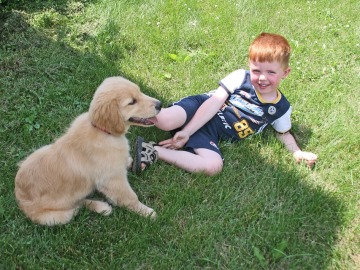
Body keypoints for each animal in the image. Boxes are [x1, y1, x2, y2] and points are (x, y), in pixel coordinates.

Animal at [14, 76, 160, 226]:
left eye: (140, 91)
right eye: (132, 102)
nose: (160, 104)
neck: (102, 131)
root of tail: (20, 200)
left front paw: (130, 160)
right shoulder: (113, 181)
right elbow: (130, 197)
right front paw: (146, 212)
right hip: (57, 216)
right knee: (76, 206)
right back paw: (101, 207)